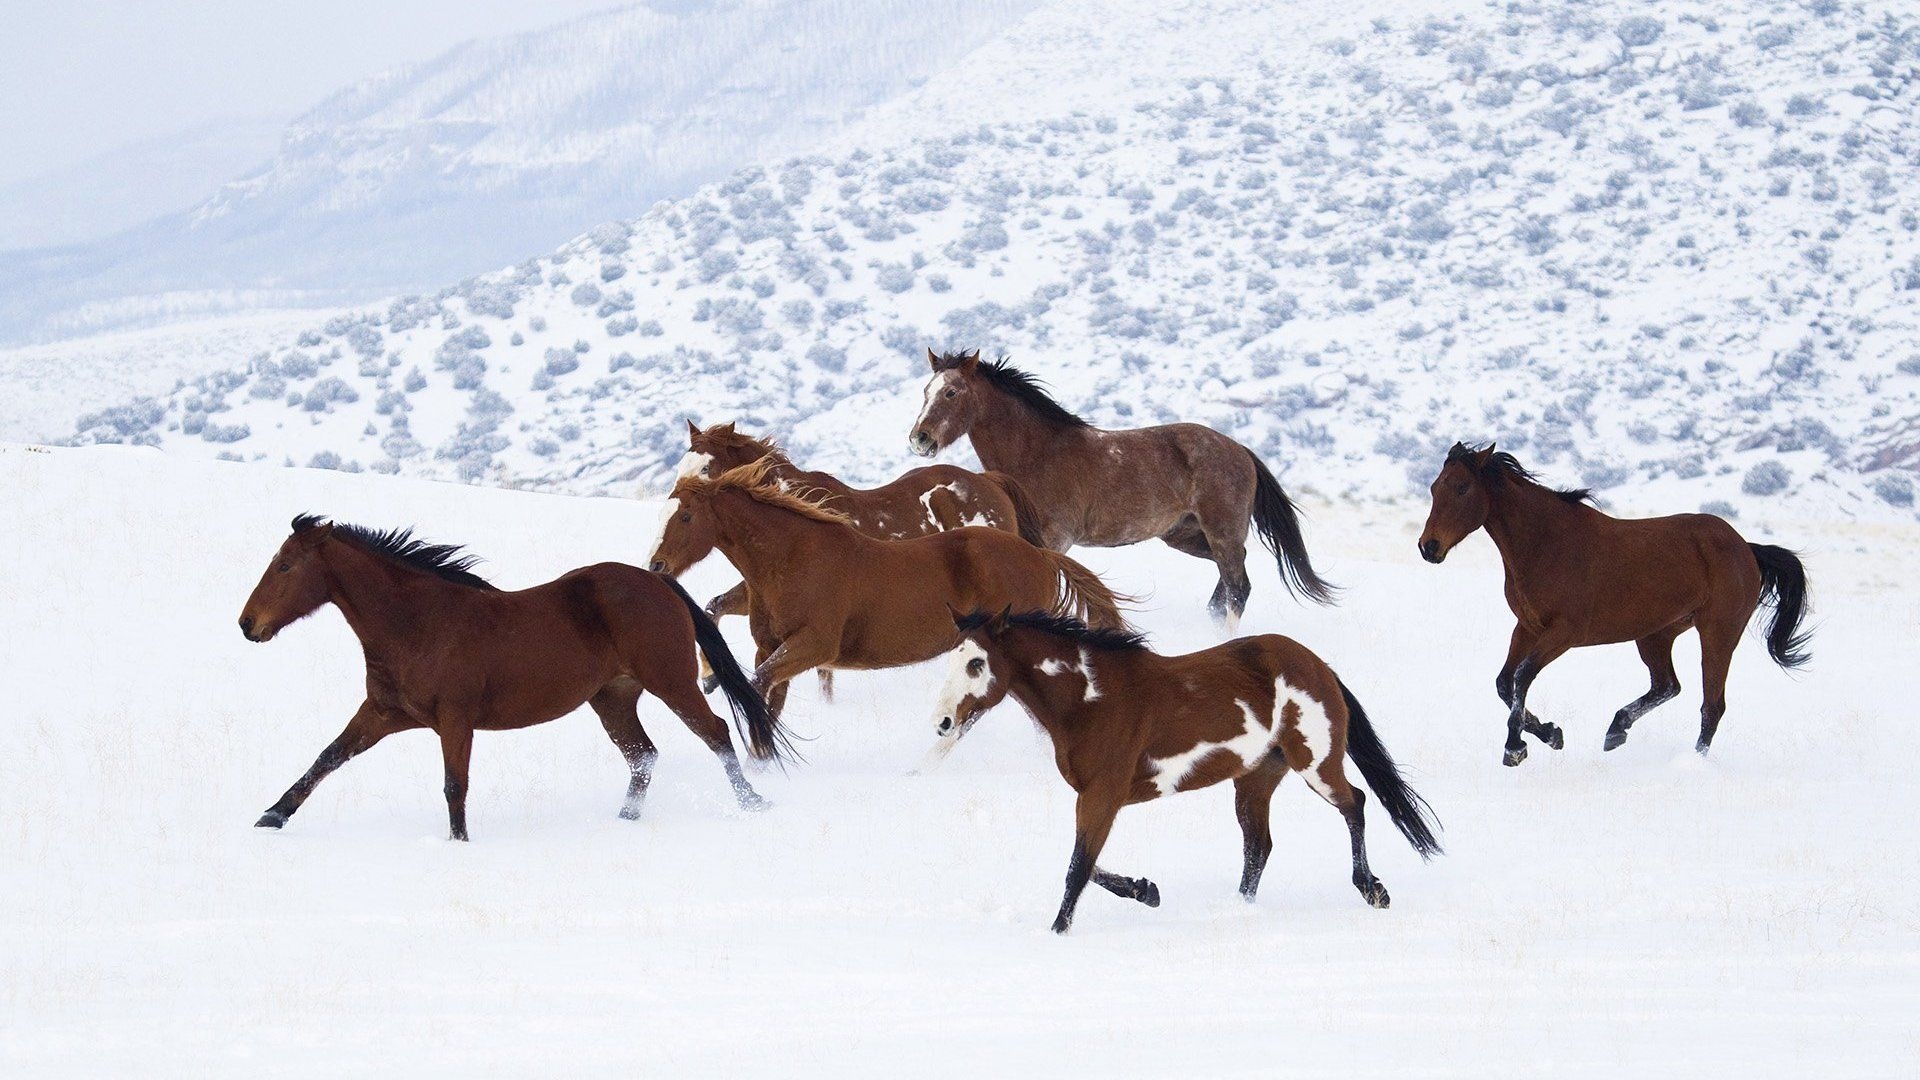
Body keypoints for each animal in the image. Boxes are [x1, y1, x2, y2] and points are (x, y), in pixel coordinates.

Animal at [240, 507, 787, 837]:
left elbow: (454, 785)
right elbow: (327, 757)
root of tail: (659, 583)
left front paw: (459, 843)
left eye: (285, 566)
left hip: (671, 682)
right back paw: (625, 819)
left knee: (715, 732)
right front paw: (272, 815)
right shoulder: (383, 713)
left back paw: (753, 803)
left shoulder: (455, 720)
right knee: (644, 756)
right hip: (612, 698)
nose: (247, 624)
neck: (418, 624)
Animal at [648, 457, 1121, 718]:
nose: (656, 565)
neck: (793, 558)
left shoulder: (814, 646)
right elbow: (765, 692)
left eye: (686, 515)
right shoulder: (771, 647)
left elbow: (759, 684)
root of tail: (1041, 556)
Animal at [910, 349, 1336, 626]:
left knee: (1238, 588)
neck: (1037, 453)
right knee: (1228, 585)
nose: (920, 438)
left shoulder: (1055, 540)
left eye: (951, 392)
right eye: (925, 392)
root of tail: (1240, 451)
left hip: (1222, 533)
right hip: (1186, 536)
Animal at [1420, 441, 1804, 760]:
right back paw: (1616, 730)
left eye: (1462, 487)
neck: (1545, 544)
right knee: (1667, 685)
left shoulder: (1564, 633)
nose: (1428, 547)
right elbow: (1505, 682)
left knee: (1711, 706)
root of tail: (1747, 548)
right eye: (1435, 487)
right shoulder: (1527, 627)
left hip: (1718, 633)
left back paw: (1693, 762)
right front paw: (1550, 734)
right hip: (1655, 634)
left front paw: (1515, 747)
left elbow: (1523, 676)